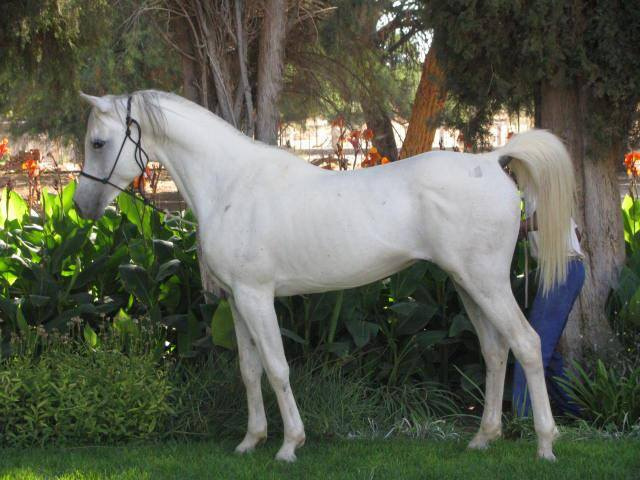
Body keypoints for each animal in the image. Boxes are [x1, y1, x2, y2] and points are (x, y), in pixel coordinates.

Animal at [75, 90, 576, 462]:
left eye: (98, 143)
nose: (81, 206)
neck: (232, 185)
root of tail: (492, 160)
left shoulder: (257, 297)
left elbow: (277, 368)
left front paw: (289, 445)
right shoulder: (237, 300)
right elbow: (249, 370)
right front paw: (250, 441)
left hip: (485, 282)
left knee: (526, 344)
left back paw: (546, 444)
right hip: (467, 285)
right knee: (495, 351)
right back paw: (483, 437)